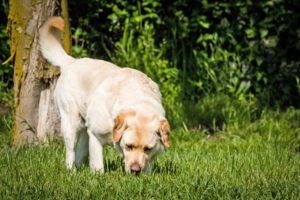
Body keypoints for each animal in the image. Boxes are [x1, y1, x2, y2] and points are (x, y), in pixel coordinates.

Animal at [39, 16, 170, 173]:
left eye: (147, 149)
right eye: (129, 146)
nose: (135, 170)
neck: (139, 102)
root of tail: (72, 61)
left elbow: (148, 164)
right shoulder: (95, 136)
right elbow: (98, 165)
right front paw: (97, 175)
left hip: (85, 128)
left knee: (81, 153)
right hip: (71, 124)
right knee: (71, 152)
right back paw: (72, 172)